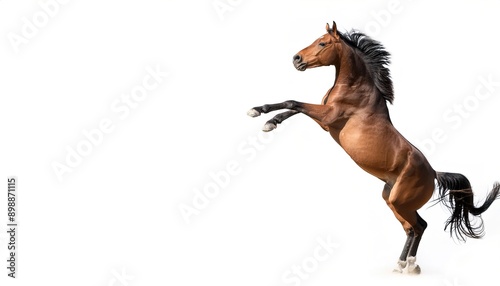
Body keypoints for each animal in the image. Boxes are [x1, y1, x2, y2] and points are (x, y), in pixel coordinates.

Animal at [247, 21, 500, 274]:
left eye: (322, 43)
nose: (296, 59)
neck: (355, 87)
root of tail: (434, 174)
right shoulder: (324, 122)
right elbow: (294, 108)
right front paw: (265, 117)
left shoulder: (328, 117)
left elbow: (294, 102)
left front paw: (261, 115)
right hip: (391, 199)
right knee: (414, 227)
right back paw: (405, 266)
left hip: (399, 201)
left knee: (419, 226)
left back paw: (406, 265)